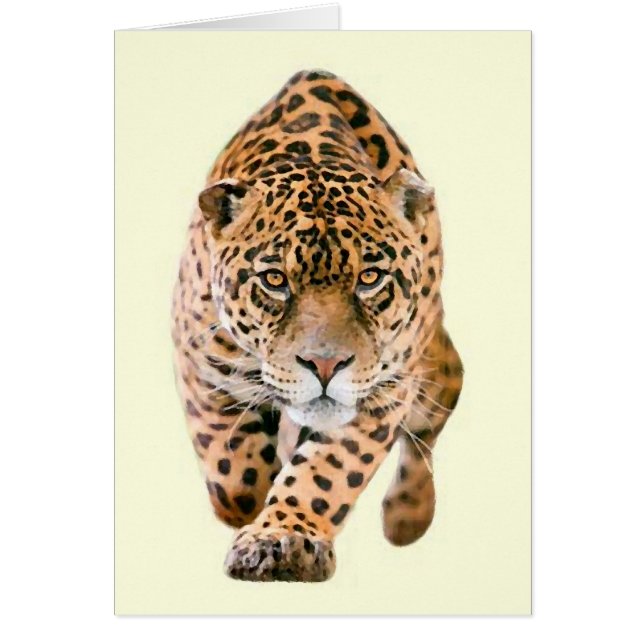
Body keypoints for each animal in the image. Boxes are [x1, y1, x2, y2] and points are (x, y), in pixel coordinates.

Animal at [171, 69, 463, 582]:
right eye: (274, 280)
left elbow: (327, 472)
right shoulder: (201, 365)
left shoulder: (382, 392)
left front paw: (283, 538)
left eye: (370, 278)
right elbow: (234, 478)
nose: (325, 366)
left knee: (440, 403)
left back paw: (408, 514)